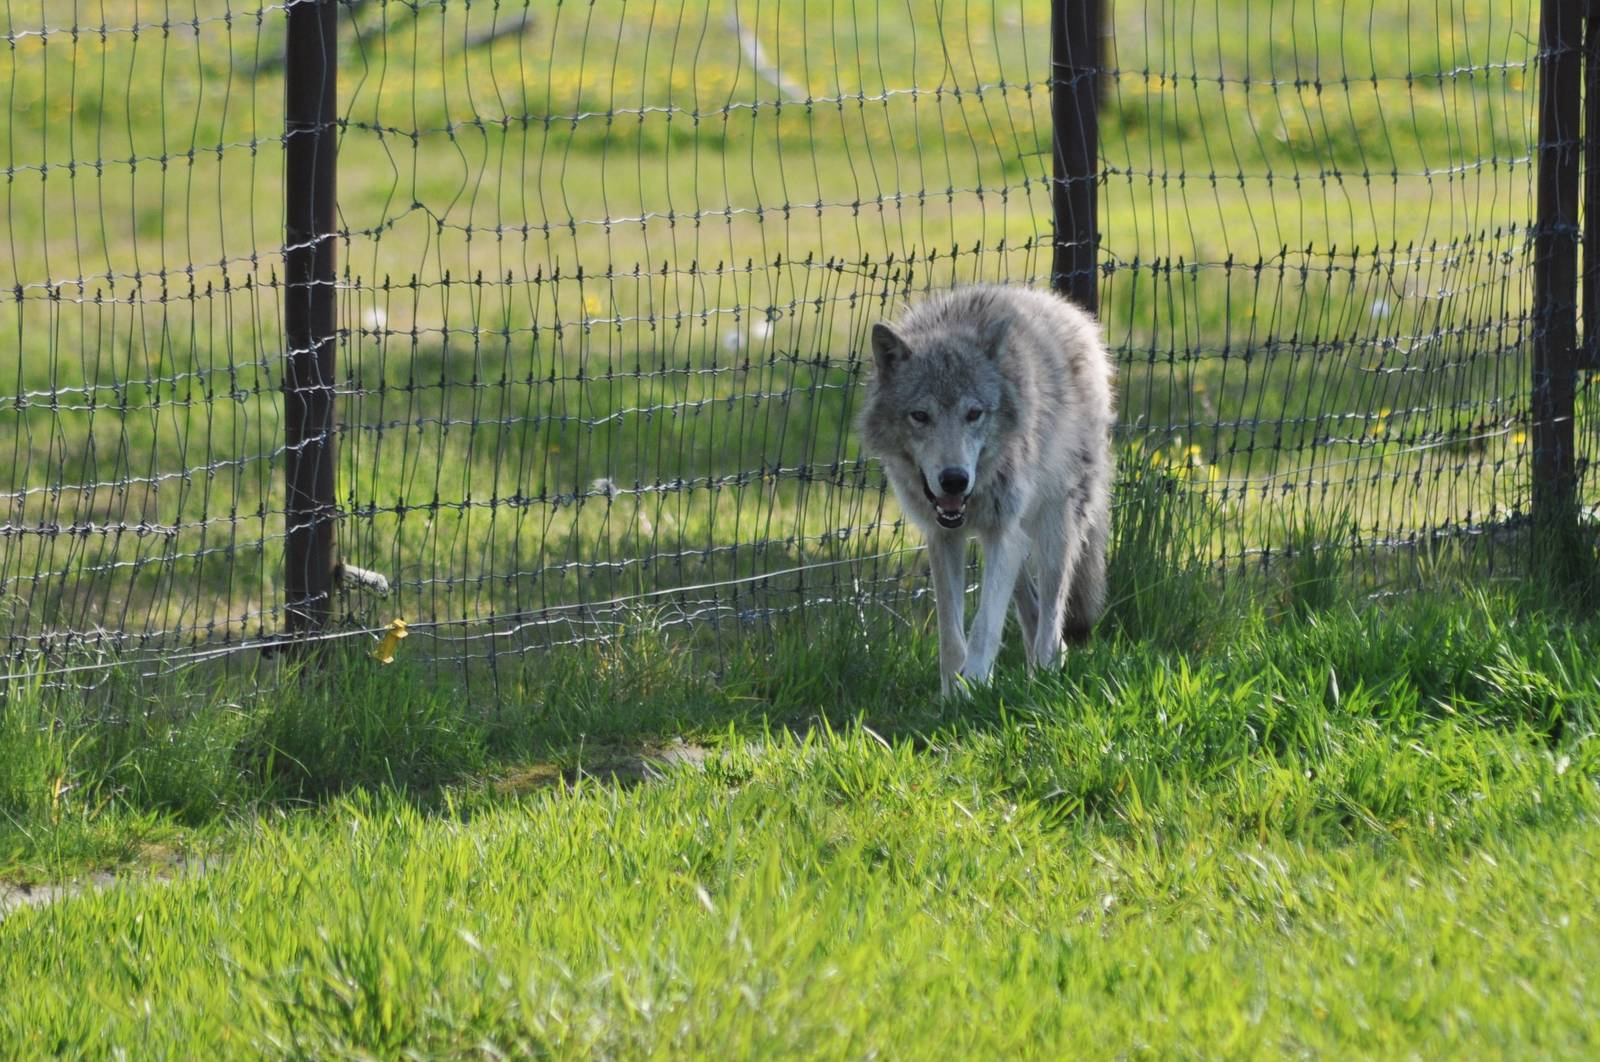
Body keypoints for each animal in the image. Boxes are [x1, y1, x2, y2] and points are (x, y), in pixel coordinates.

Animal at [859, 285, 1115, 694]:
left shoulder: (1001, 534)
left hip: (1054, 531)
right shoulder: (944, 537)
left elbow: (984, 625)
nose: (954, 479)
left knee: (1052, 611)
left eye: (974, 414)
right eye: (920, 416)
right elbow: (950, 633)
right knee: (1033, 607)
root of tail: (1067, 308)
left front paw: (975, 685)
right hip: (1016, 539)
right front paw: (952, 693)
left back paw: (1046, 674)